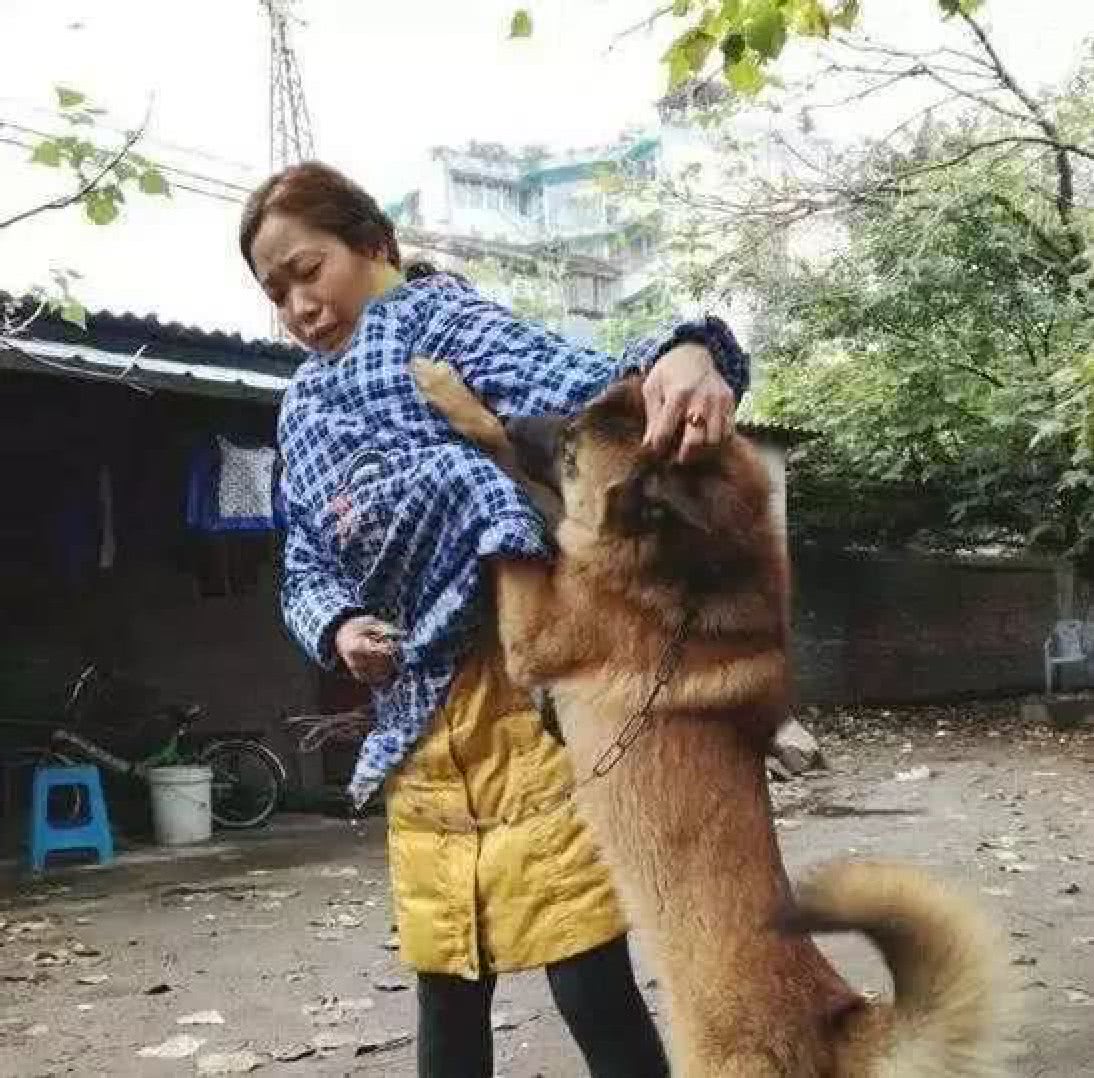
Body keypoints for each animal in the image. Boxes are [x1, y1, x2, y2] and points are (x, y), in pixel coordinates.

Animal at [413, 358, 1010, 1076]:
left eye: (571, 450)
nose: (515, 415)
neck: (692, 574)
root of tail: (836, 1022)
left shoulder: (535, 627)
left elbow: (515, 533)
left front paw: (452, 401)